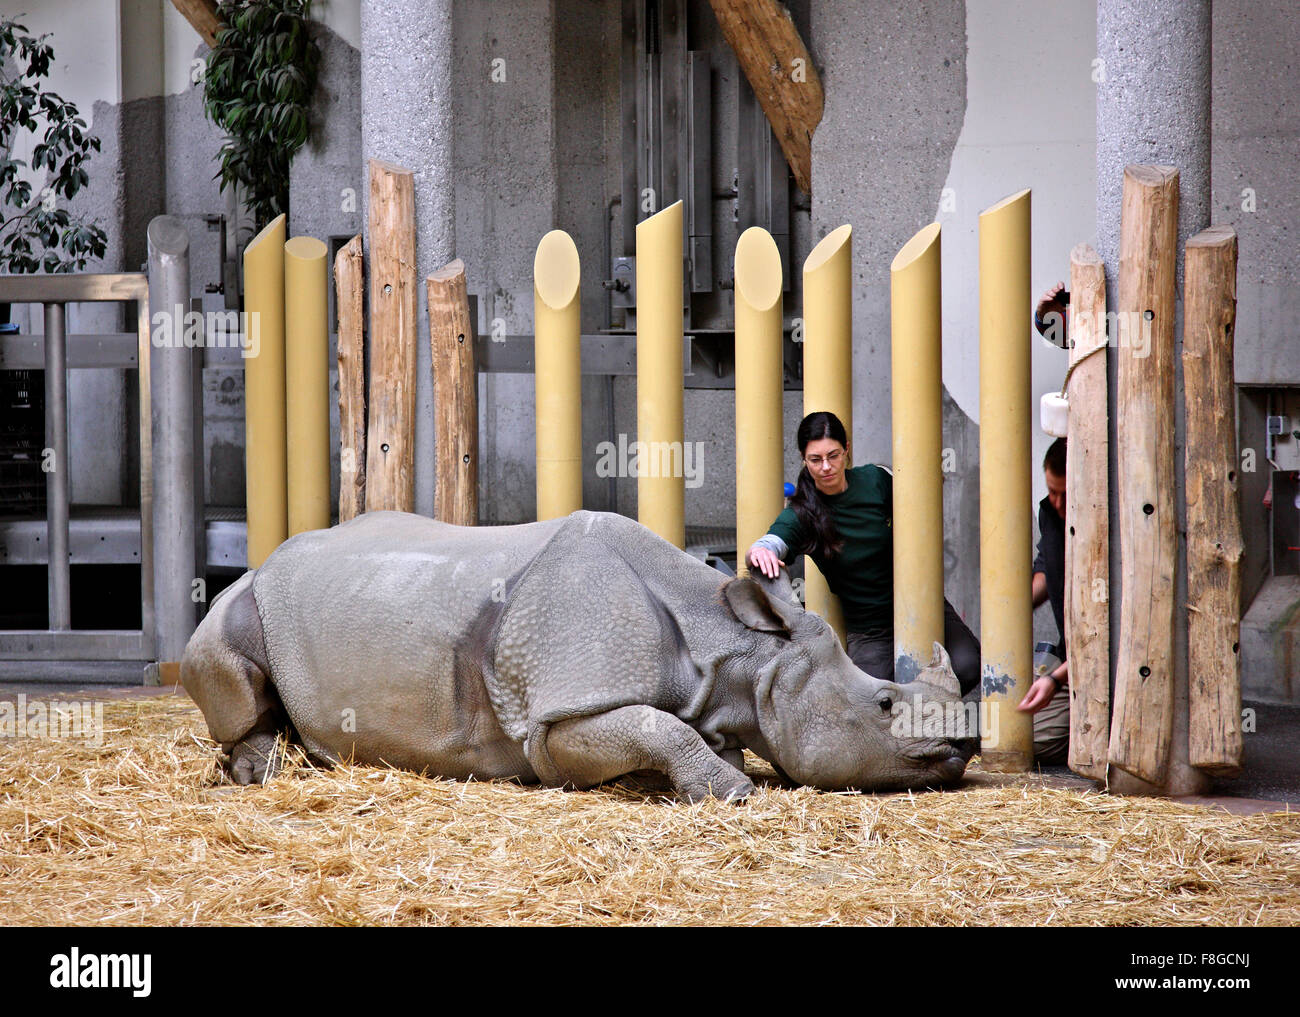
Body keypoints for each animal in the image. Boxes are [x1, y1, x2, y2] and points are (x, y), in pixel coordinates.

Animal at [181, 509, 975, 801]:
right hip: (249, 594)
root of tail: (270, 555)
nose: (964, 747)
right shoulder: (557, 721)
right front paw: (731, 792)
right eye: (883, 703)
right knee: (224, 655)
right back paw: (262, 772)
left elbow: (679, 727)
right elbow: (658, 727)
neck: (739, 653)